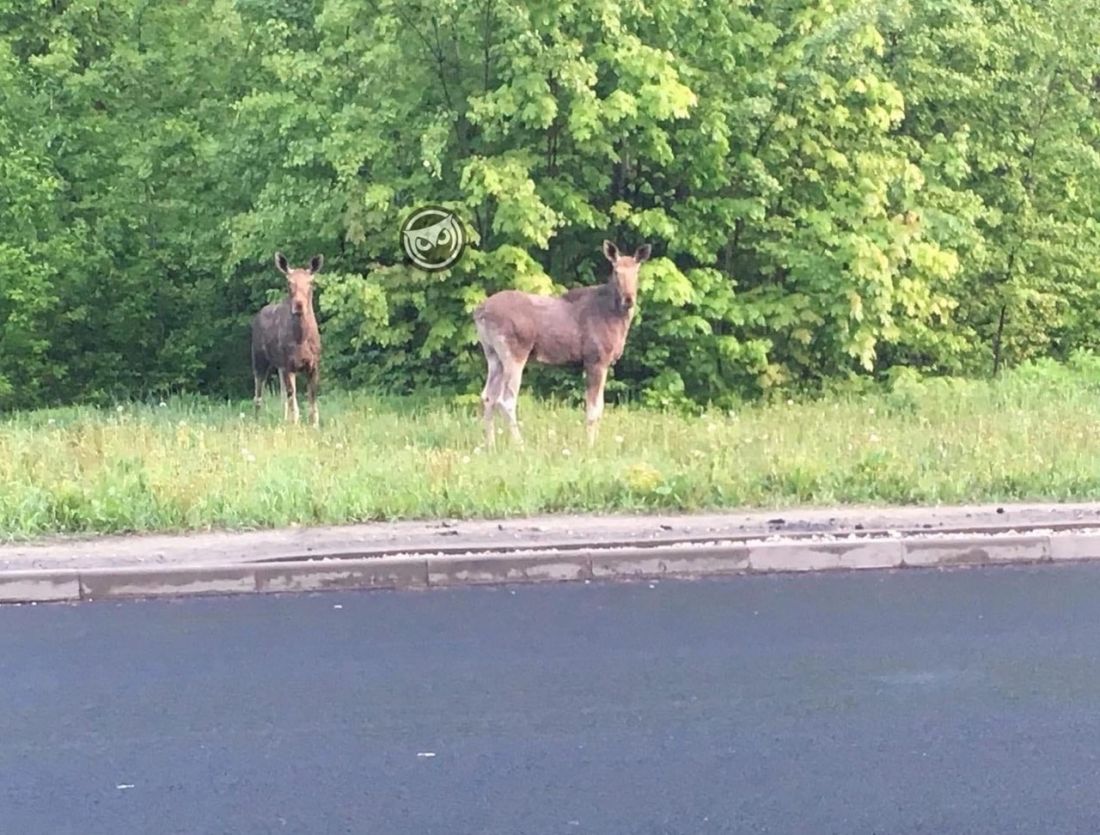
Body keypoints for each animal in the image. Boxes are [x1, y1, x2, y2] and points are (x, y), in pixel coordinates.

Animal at [247, 251, 321, 426]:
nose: (299, 304)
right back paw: (257, 422)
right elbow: (294, 402)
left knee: (282, 398)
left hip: (279, 367)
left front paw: (314, 426)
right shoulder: (289, 365)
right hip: (259, 360)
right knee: (258, 395)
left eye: (311, 282)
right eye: (289, 282)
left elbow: (312, 402)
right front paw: (295, 426)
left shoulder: (313, 365)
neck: (301, 338)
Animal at [473, 238, 651, 446]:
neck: (617, 319)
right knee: (506, 400)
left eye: (637, 271)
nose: (628, 299)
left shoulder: (604, 363)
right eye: (616, 271)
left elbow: (599, 408)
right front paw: (590, 446)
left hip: (493, 355)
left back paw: (490, 445)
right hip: (515, 354)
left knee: (487, 396)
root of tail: (479, 312)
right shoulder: (595, 360)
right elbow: (592, 411)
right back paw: (520, 446)